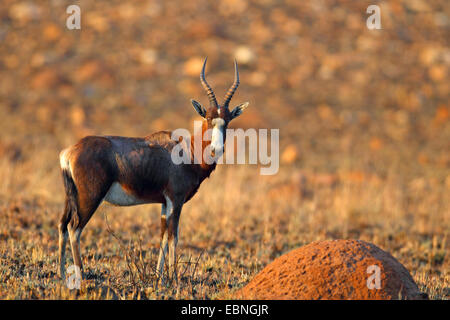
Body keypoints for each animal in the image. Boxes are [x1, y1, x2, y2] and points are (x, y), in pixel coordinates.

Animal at [57, 58, 248, 286]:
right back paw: (82, 276)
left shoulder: (165, 203)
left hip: (71, 198)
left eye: (227, 121)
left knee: (62, 225)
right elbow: (174, 236)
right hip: (90, 198)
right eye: (208, 119)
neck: (186, 150)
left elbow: (163, 236)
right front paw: (174, 278)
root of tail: (70, 151)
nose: (216, 149)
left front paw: (159, 276)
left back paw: (61, 274)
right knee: (74, 228)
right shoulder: (176, 200)